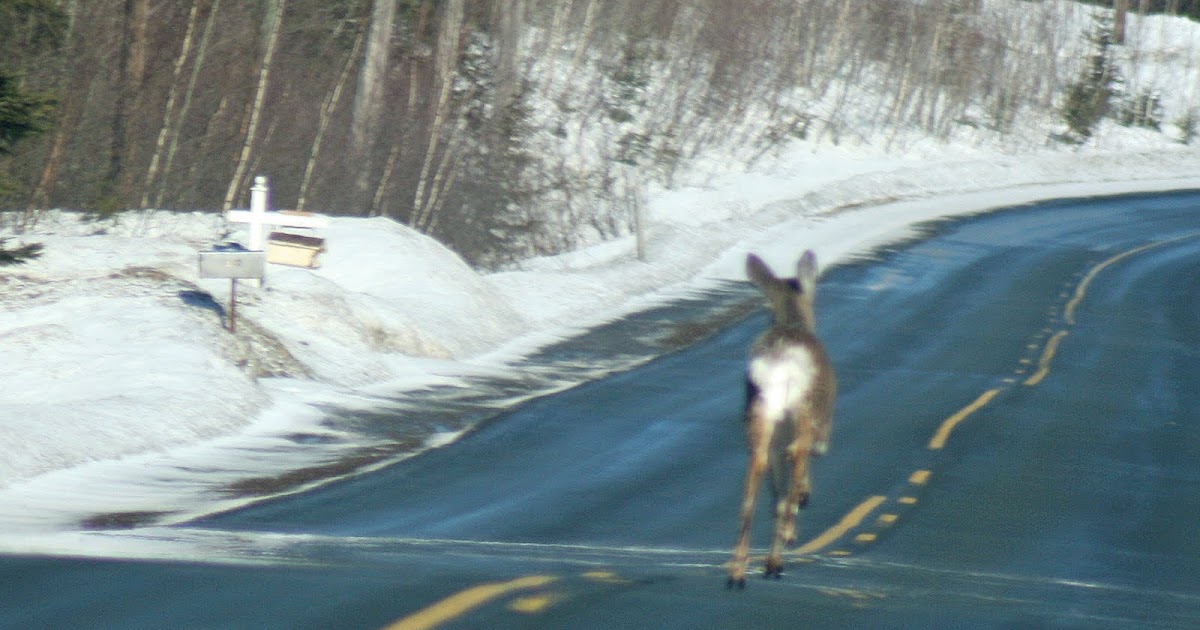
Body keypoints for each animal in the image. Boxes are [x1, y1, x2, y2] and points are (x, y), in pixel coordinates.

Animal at [728, 250, 836, 588]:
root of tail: (778, 366)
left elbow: (776, 492)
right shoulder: (822, 426)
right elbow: (806, 465)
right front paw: (802, 500)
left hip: (759, 418)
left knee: (753, 486)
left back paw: (737, 572)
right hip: (802, 411)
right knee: (796, 455)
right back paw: (781, 547)